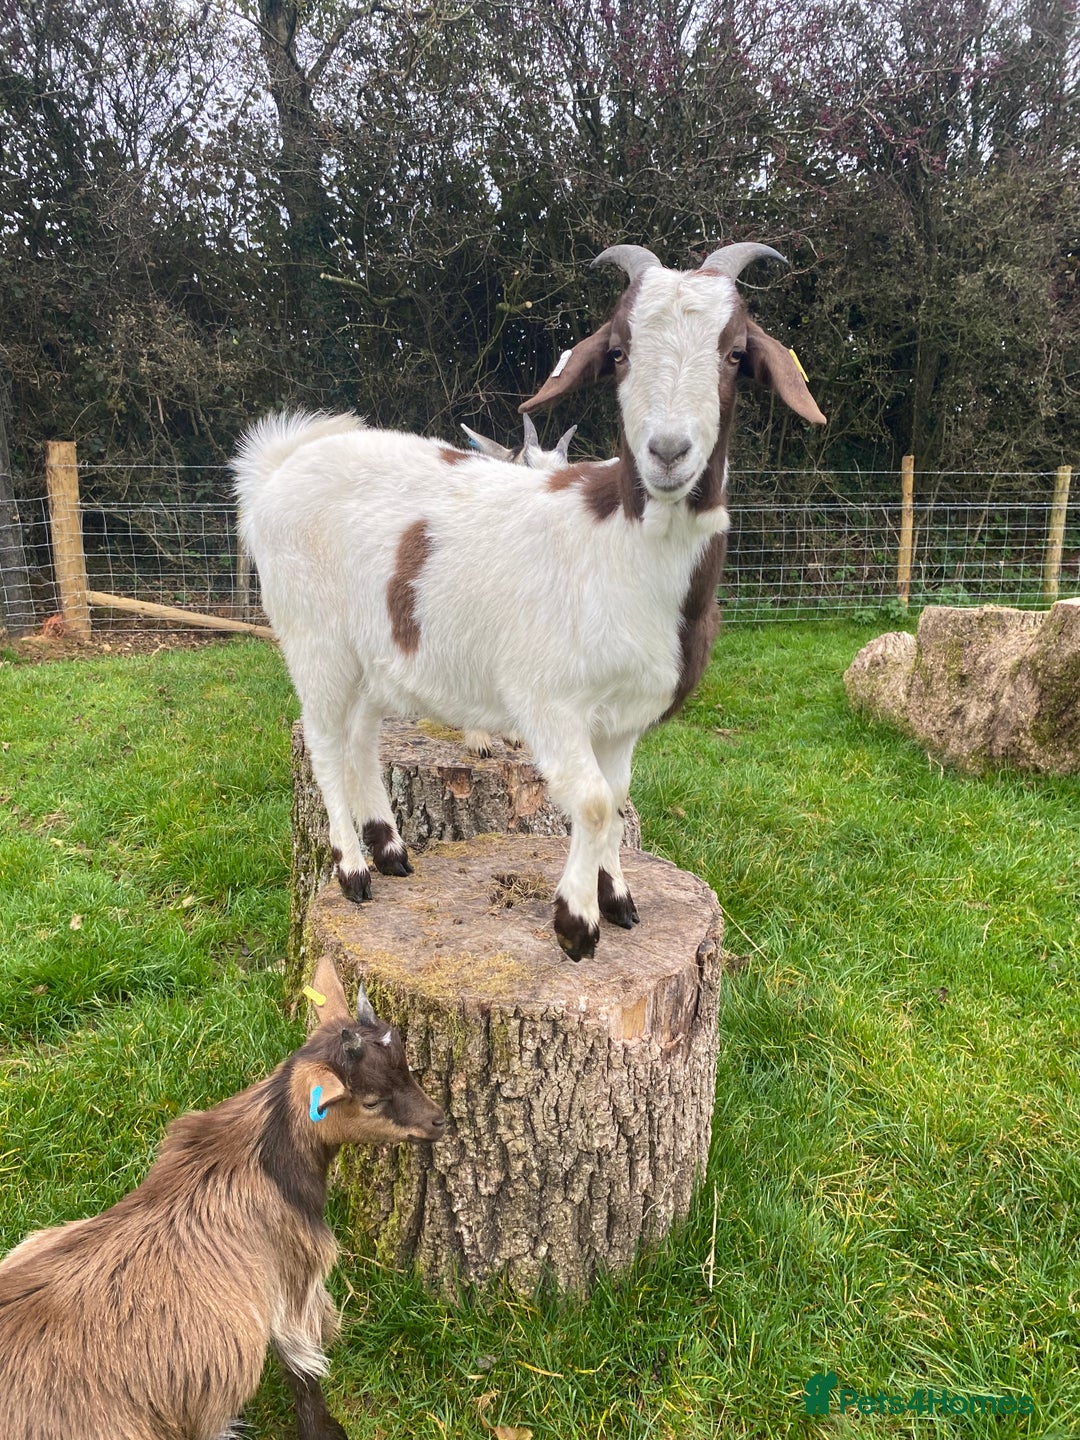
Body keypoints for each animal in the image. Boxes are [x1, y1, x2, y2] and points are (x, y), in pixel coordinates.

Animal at [0, 958, 445, 1440]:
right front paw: (327, 1430)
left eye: (406, 1066)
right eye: (371, 1100)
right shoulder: (293, 1275)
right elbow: (303, 1364)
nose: (438, 1120)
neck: (257, 1156)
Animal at [234, 240, 825, 960]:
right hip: (311, 634)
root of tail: (275, 471)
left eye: (737, 352)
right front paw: (576, 924)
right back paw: (353, 870)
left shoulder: (624, 716)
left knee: (360, 737)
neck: (619, 546)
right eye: (619, 349)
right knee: (322, 742)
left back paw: (392, 848)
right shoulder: (548, 699)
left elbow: (617, 799)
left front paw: (618, 899)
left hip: (376, 648)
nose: (667, 452)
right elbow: (592, 802)